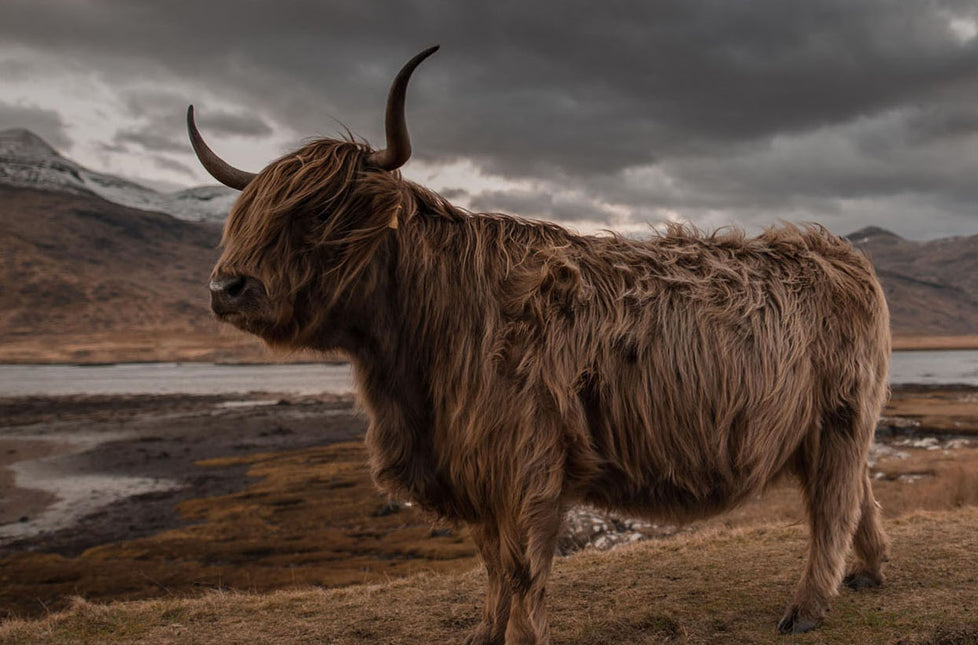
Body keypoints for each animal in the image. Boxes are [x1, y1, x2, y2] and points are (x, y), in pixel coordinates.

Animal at [189, 46, 891, 644]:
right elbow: (491, 563)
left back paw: (806, 608)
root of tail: (838, 254)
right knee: (860, 491)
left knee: (833, 507)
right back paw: (870, 572)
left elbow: (523, 567)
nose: (227, 287)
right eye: (246, 215)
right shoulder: (470, 463)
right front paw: (482, 633)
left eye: (317, 212)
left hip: (838, 418)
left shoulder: (526, 461)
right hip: (825, 429)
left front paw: (520, 635)